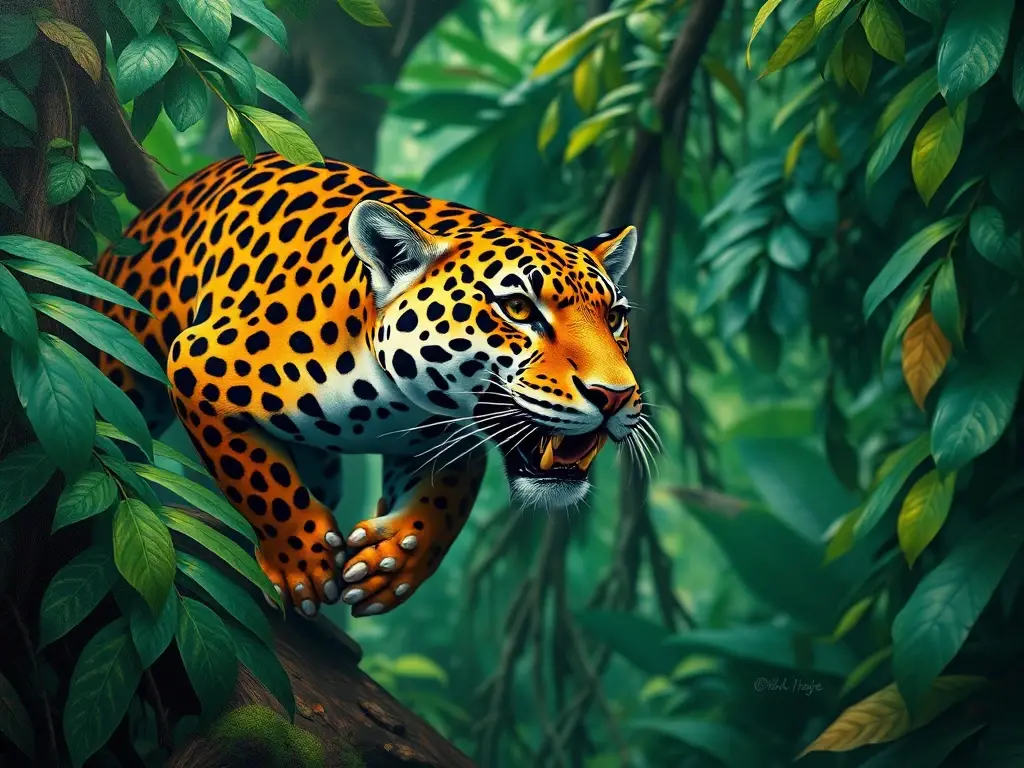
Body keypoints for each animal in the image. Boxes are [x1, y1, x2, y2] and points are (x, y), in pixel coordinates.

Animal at [94, 152, 643, 618]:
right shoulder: (197, 363)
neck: (389, 400)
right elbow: (258, 482)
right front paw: (302, 563)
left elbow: (449, 497)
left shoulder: (443, 440)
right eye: (519, 308)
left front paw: (392, 563)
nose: (615, 396)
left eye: (615, 318)